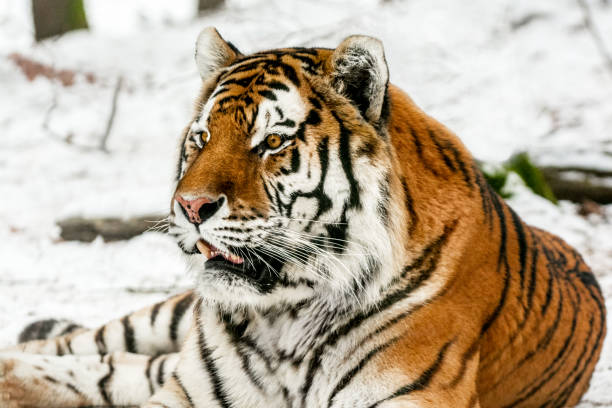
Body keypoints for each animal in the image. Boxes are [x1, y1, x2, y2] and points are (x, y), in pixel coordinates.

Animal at [0, 27, 604, 406]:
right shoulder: (190, 390)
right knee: (90, 347)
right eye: (202, 138)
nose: (189, 207)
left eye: (272, 141)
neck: (284, 320)